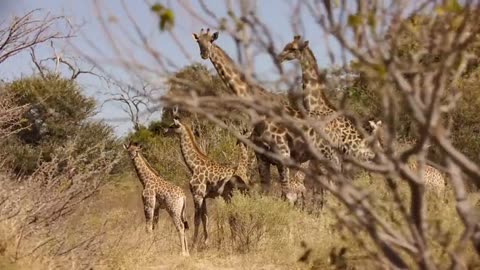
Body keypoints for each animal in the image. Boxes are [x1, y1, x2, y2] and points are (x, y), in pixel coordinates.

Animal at [167, 116, 249, 249]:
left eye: (172, 126)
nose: (164, 131)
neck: (194, 166)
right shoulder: (204, 197)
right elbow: (205, 218)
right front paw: (206, 243)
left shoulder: (197, 194)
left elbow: (197, 220)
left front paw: (194, 244)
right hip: (237, 195)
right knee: (238, 214)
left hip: (233, 195)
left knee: (236, 214)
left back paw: (237, 241)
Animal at [191, 28, 338, 200]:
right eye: (198, 41)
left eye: (211, 40)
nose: (204, 54)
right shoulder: (261, 157)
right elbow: (266, 193)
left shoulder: (283, 154)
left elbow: (286, 194)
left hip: (329, 156)